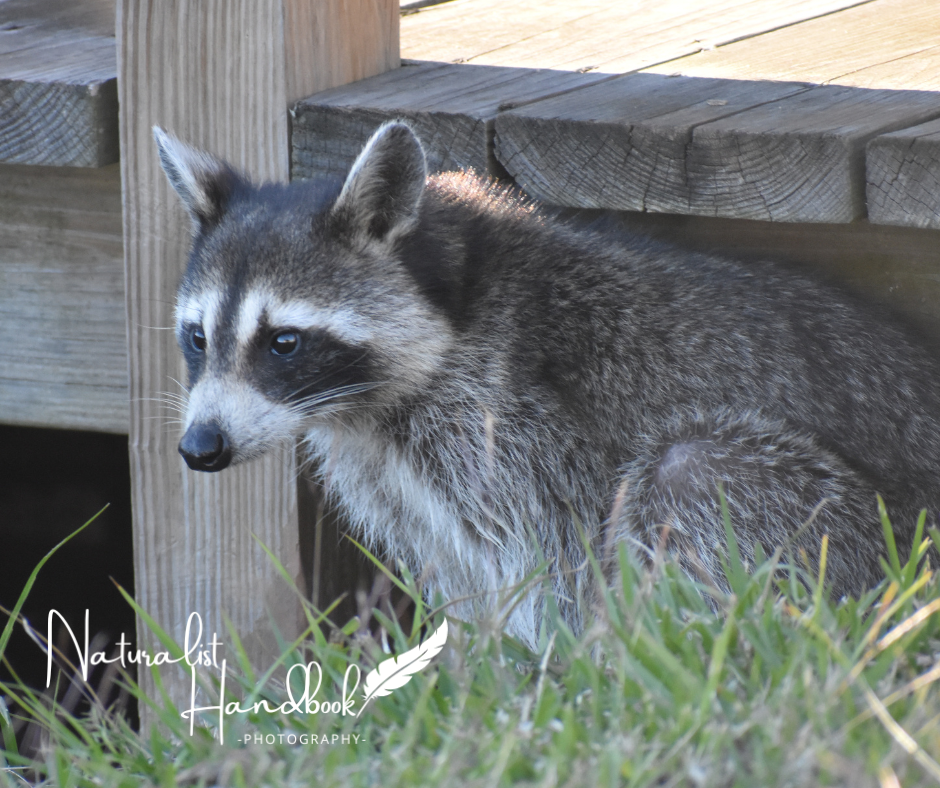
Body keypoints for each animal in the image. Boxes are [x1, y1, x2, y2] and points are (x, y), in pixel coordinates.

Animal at [155, 122, 940, 646]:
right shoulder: (393, 475)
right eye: (197, 338)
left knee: (686, 471)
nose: (201, 446)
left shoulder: (516, 426)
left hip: (858, 527)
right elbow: (462, 571)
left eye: (283, 342)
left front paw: (563, 670)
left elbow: (561, 561)